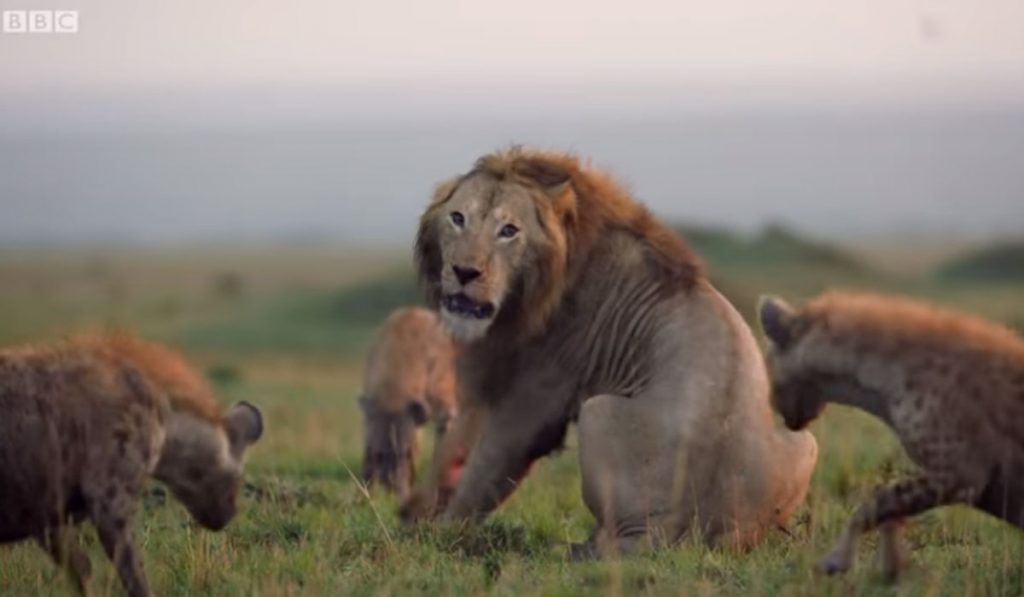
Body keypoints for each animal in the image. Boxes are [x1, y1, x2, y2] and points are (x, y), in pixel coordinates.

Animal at [0, 332, 263, 597]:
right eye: (238, 480)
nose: (228, 515)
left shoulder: (44, 510)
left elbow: (78, 566)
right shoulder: (107, 495)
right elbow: (129, 571)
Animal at [359, 306, 457, 500]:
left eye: (407, 454)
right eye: (380, 455)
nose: (395, 492)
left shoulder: (446, 410)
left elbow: (439, 455)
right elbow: (367, 456)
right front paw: (365, 497)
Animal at [399, 147, 818, 555]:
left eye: (509, 231)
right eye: (458, 218)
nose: (464, 272)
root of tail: (688, 531)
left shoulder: (537, 396)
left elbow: (485, 467)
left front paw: (438, 534)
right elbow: (452, 448)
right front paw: (413, 513)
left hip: (598, 411)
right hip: (804, 443)